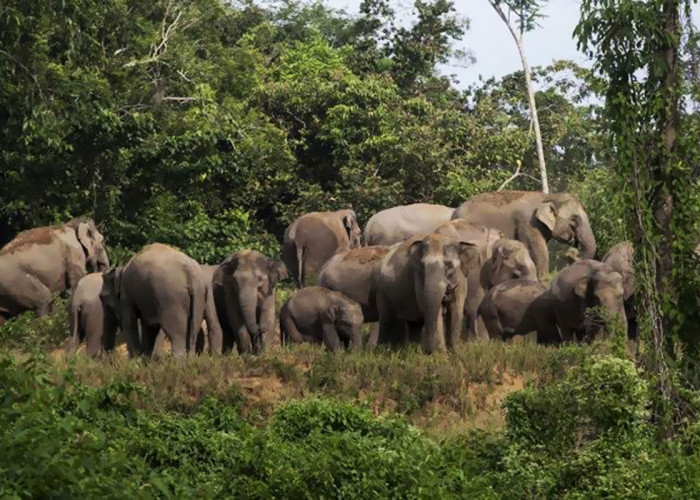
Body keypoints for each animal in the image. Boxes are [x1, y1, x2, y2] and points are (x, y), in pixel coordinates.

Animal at [448, 190, 596, 280]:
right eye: (575, 219)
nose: (572, 253)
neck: (547, 197)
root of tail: (455, 211)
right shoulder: (528, 222)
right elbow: (539, 250)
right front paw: (543, 280)